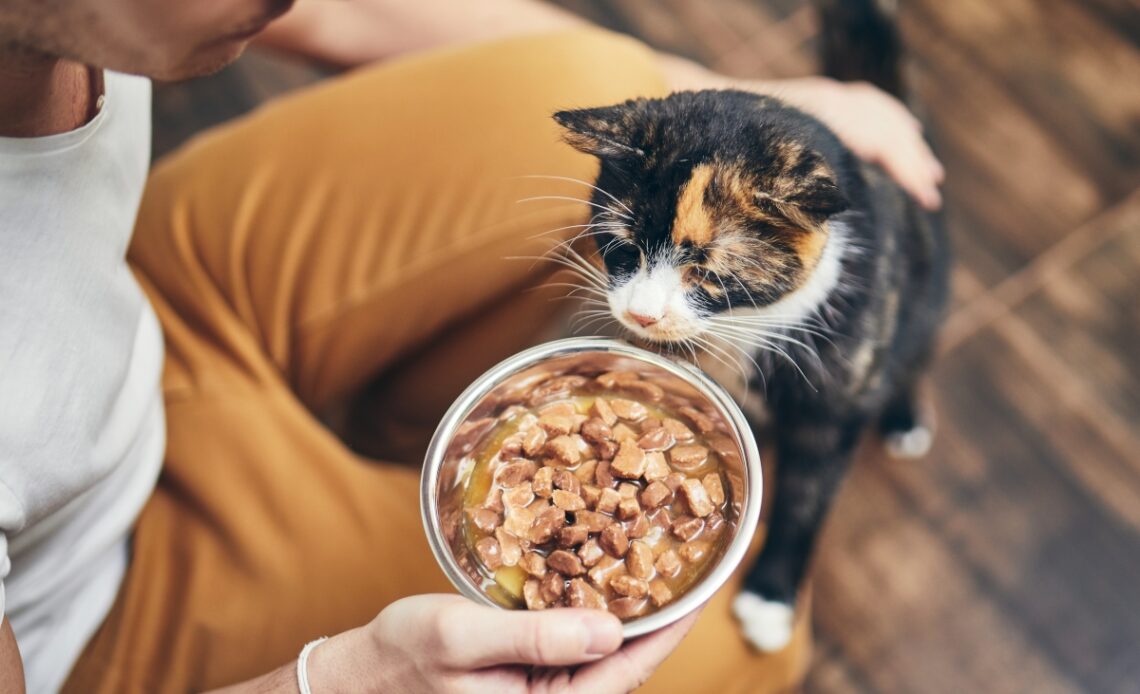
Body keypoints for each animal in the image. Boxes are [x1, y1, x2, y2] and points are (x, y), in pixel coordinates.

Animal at [547, 0, 948, 647]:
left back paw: (905, 414)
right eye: (622, 247)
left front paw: (771, 597)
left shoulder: (833, 403)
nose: (641, 312)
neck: (743, 327)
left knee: (915, 351)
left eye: (707, 271)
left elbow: (806, 498)